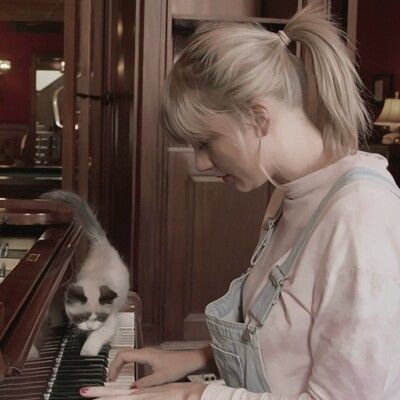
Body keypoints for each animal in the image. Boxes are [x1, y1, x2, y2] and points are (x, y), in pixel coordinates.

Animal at [40, 191, 130, 356]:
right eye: (82, 317)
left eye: (99, 317)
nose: (90, 326)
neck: (94, 280)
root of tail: (102, 243)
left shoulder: (109, 321)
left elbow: (96, 336)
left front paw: (86, 353)